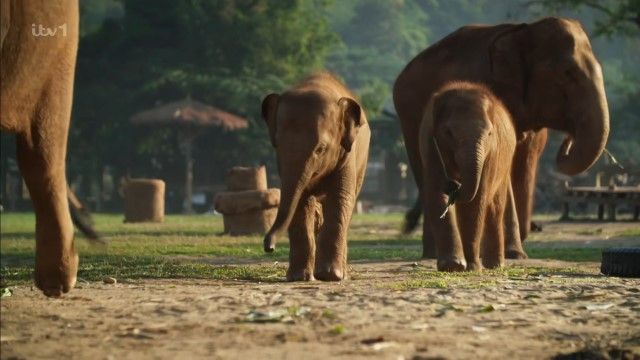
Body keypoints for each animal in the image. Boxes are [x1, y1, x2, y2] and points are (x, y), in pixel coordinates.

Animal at [260, 72, 370, 282]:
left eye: (320, 149)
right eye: (277, 145)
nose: (269, 248)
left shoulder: (348, 156)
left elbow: (341, 198)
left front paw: (329, 276)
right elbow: (301, 202)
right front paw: (299, 277)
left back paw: (341, 274)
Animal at [420, 81, 520, 270]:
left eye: (489, 133)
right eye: (448, 132)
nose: (453, 185)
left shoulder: (491, 154)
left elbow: (476, 199)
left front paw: (472, 267)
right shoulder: (428, 144)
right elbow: (436, 193)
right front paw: (452, 266)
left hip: (505, 166)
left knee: (495, 207)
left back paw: (495, 265)